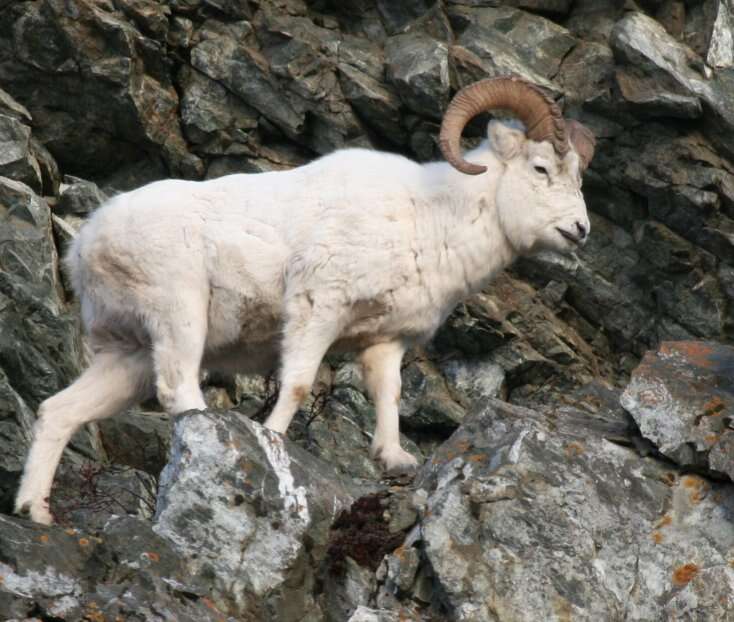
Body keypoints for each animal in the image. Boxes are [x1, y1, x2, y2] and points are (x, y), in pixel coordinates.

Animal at [14, 78, 596, 528]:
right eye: (541, 168)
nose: (579, 231)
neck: (431, 216)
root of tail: (88, 243)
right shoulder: (319, 308)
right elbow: (296, 384)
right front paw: (272, 440)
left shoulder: (385, 341)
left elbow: (389, 394)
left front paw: (394, 459)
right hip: (180, 316)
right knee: (179, 390)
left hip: (127, 355)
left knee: (59, 412)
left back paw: (35, 512)